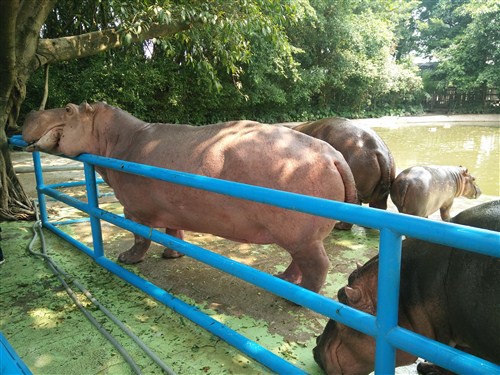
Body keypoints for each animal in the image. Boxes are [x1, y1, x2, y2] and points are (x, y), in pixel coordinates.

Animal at [23, 102, 358, 294]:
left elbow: (139, 236)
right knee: (299, 262)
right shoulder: (172, 207)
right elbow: (173, 231)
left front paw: (127, 259)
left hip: (303, 236)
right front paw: (173, 255)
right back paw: (285, 281)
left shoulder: (133, 209)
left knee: (318, 265)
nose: (29, 111)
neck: (116, 138)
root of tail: (334, 155)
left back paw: (300, 299)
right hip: (299, 237)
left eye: (68, 108)